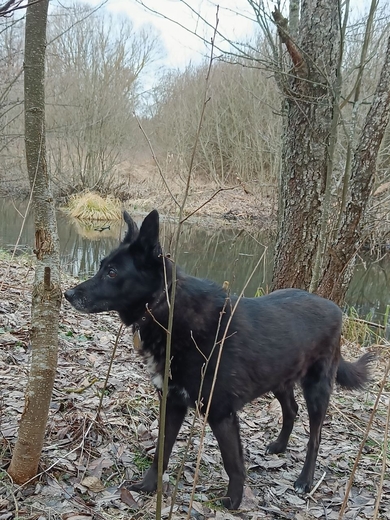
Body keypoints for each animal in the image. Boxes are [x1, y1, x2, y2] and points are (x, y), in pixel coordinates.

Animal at [65, 210, 374, 508]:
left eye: (112, 273)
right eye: (102, 266)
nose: (68, 294)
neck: (167, 309)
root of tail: (335, 308)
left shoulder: (221, 412)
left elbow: (233, 463)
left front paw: (234, 502)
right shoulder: (173, 402)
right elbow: (161, 450)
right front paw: (148, 487)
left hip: (317, 390)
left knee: (315, 436)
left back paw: (304, 480)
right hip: (279, 379)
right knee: (291, 410)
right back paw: (279, 446)